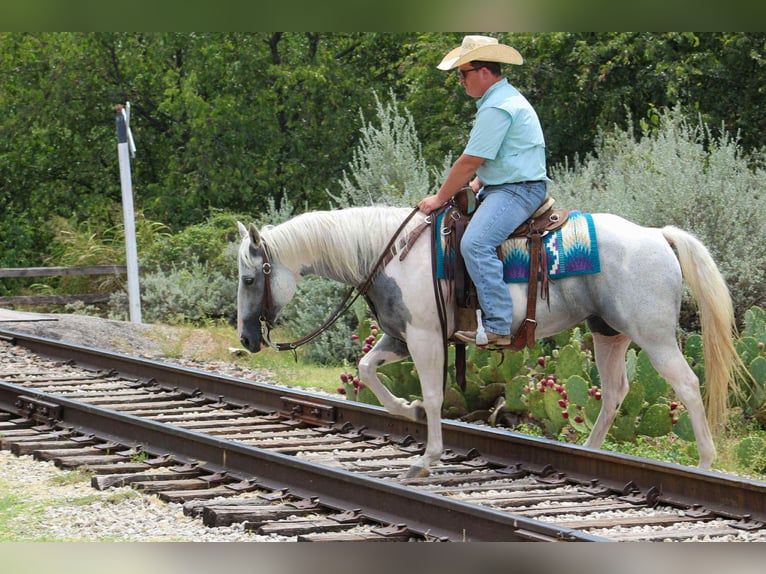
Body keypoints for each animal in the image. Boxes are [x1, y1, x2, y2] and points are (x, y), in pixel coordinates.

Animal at [236, 205, 739, 478]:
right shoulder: (399, 337)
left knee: (688, 386)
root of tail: (658, 236)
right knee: (615, 392)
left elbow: (435, 396)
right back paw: (590, 455)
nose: (246, 338)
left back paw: (706, 465)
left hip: (653, 337)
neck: (393, 253)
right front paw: (406, 410)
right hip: (607, 332)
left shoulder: (425, 338)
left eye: (248, 278)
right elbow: (367, 370)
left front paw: (426, 457)